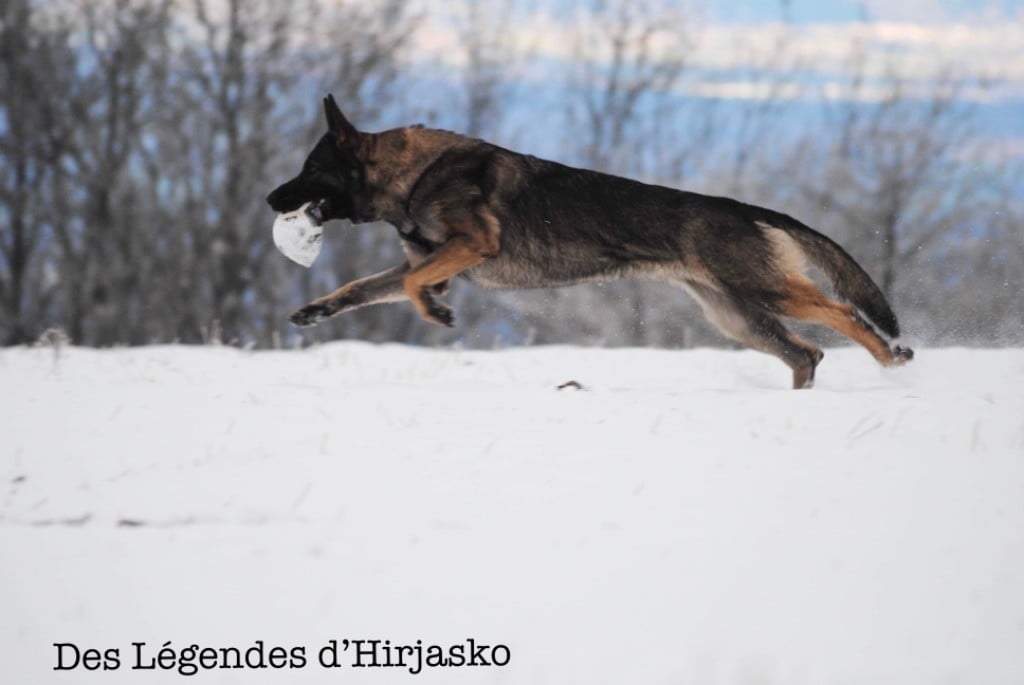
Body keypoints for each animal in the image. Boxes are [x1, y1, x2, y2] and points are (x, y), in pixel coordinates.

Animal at [264, 93, 913, 387]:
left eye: (310, 169)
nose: (270, 199)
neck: (414, 174)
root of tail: (744, 208)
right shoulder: (432, 262)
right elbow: (364, 287)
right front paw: (317, 310)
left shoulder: (467, 248)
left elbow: (419, 285)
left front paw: (435, 314)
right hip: (735, 317)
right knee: (806, 353)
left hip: (766, 294)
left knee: (843, 314)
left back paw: (890, 360)